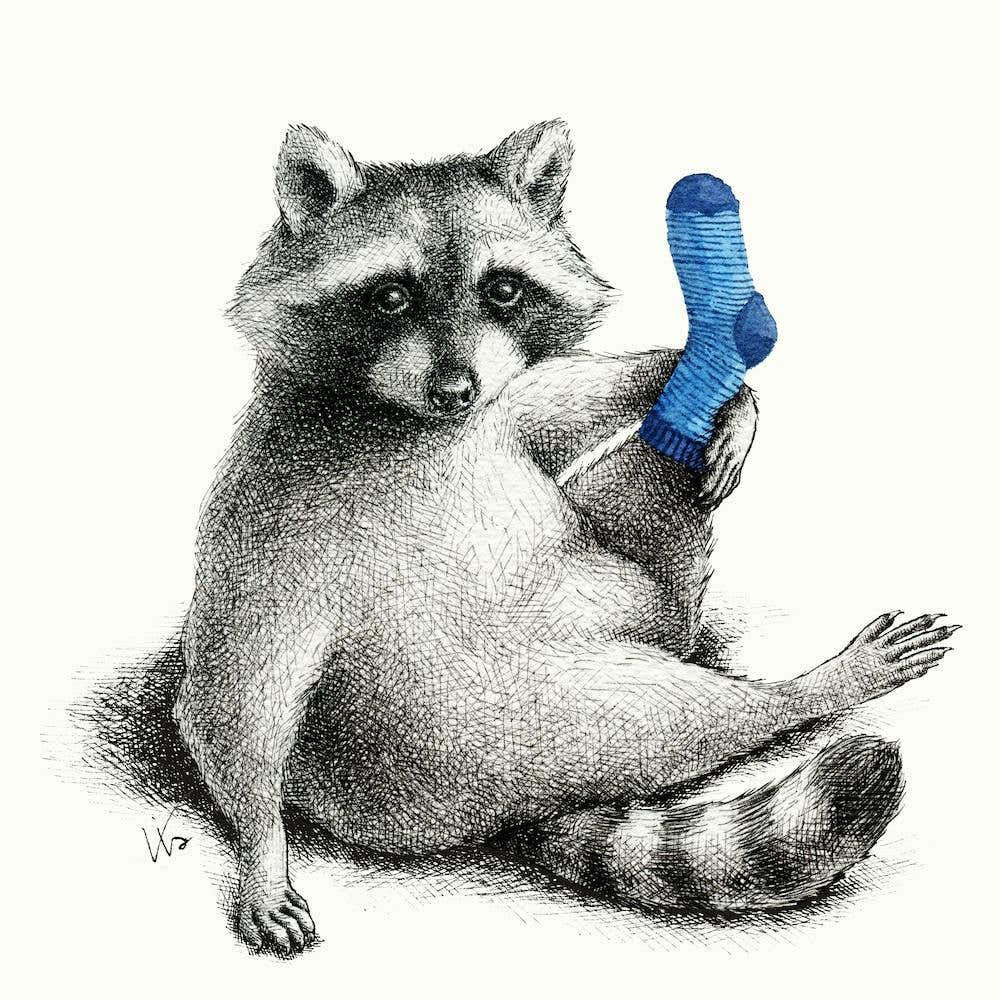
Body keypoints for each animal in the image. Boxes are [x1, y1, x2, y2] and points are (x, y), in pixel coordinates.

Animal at [175, 121, 955, 954]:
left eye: (503, 289)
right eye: (390, 296)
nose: (454, 389)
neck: (408, 420)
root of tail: (524, 804)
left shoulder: (504, 402)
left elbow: (563, 403)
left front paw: (716, 384)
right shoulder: (270, 513)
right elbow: (238, 689)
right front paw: (262, 850)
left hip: (619, 613)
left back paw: (699, 397)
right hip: (553, 716)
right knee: (699, 713)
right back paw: (811, 688)